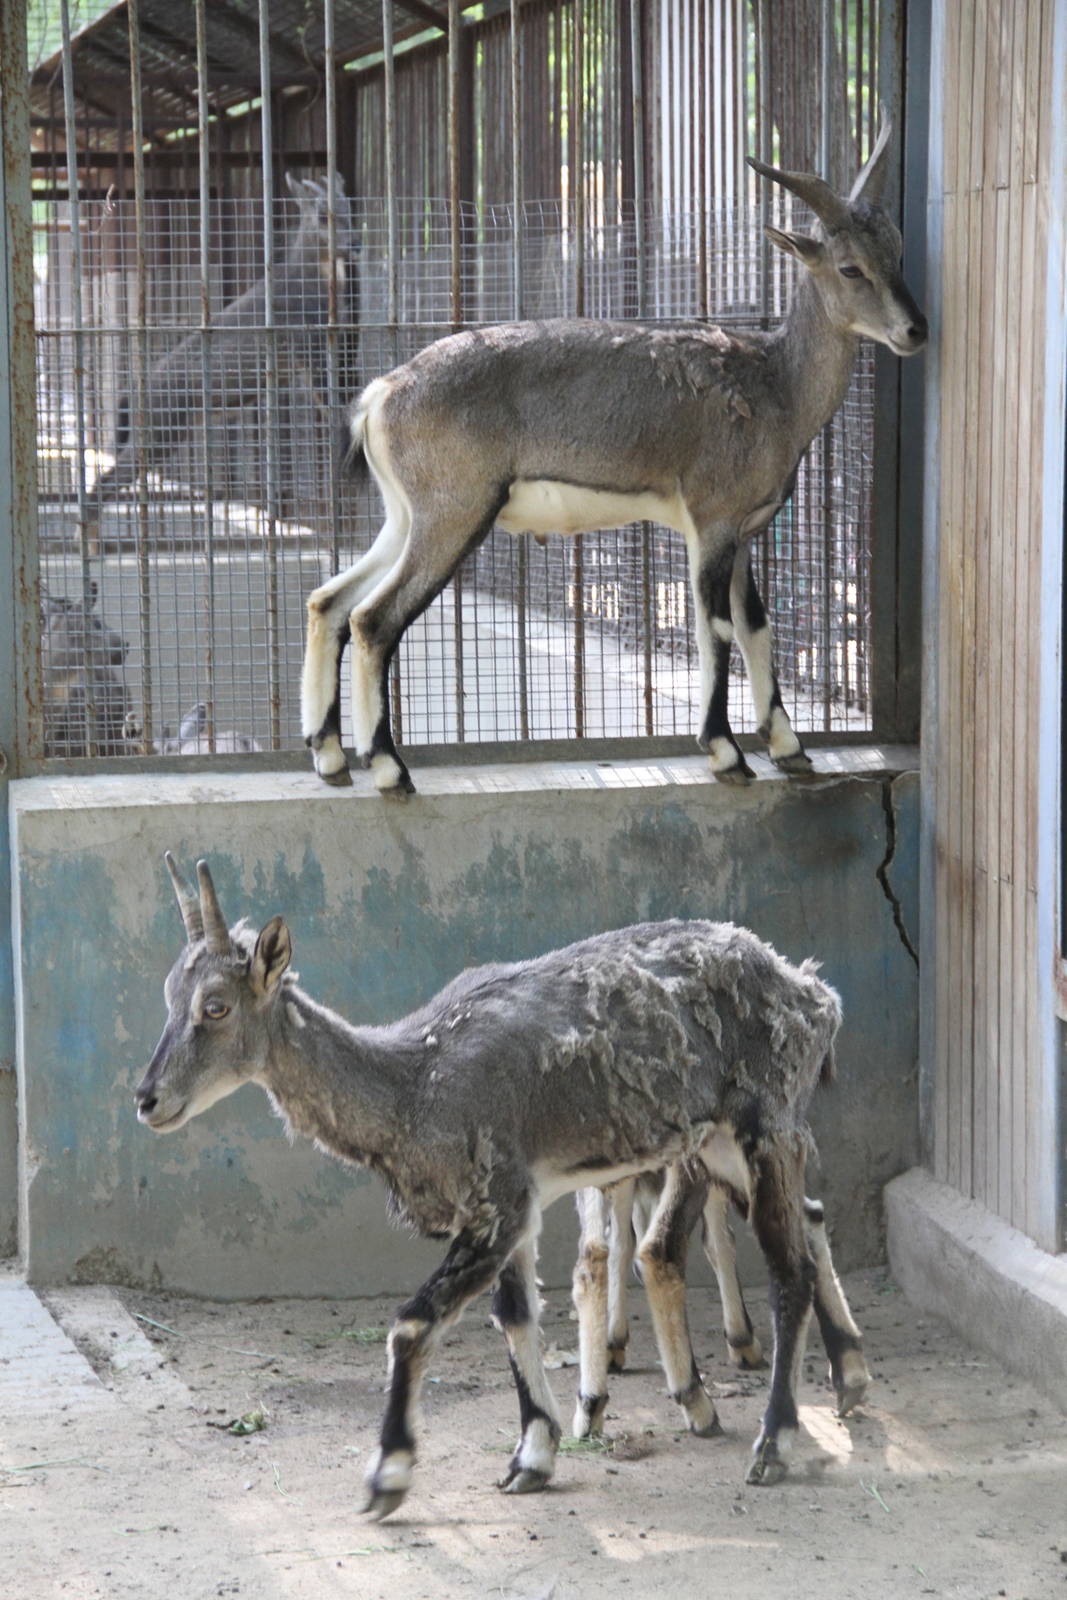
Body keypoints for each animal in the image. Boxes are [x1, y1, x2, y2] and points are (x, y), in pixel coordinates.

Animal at [136, 856, 846, 1517]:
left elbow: (413, 1323)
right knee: (806, 1226)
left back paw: (774, 1443)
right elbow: (516, 1315)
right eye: (168, 994)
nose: (148, 1099)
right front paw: (532, 1457)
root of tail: (813, 994)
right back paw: (848, 1378)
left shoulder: (494, 1208)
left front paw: (389, 1475)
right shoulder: (516, 1207)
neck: (414, 1082)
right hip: (719, 1148)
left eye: (216, 1006)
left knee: (788, 1270)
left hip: (768, 1128)